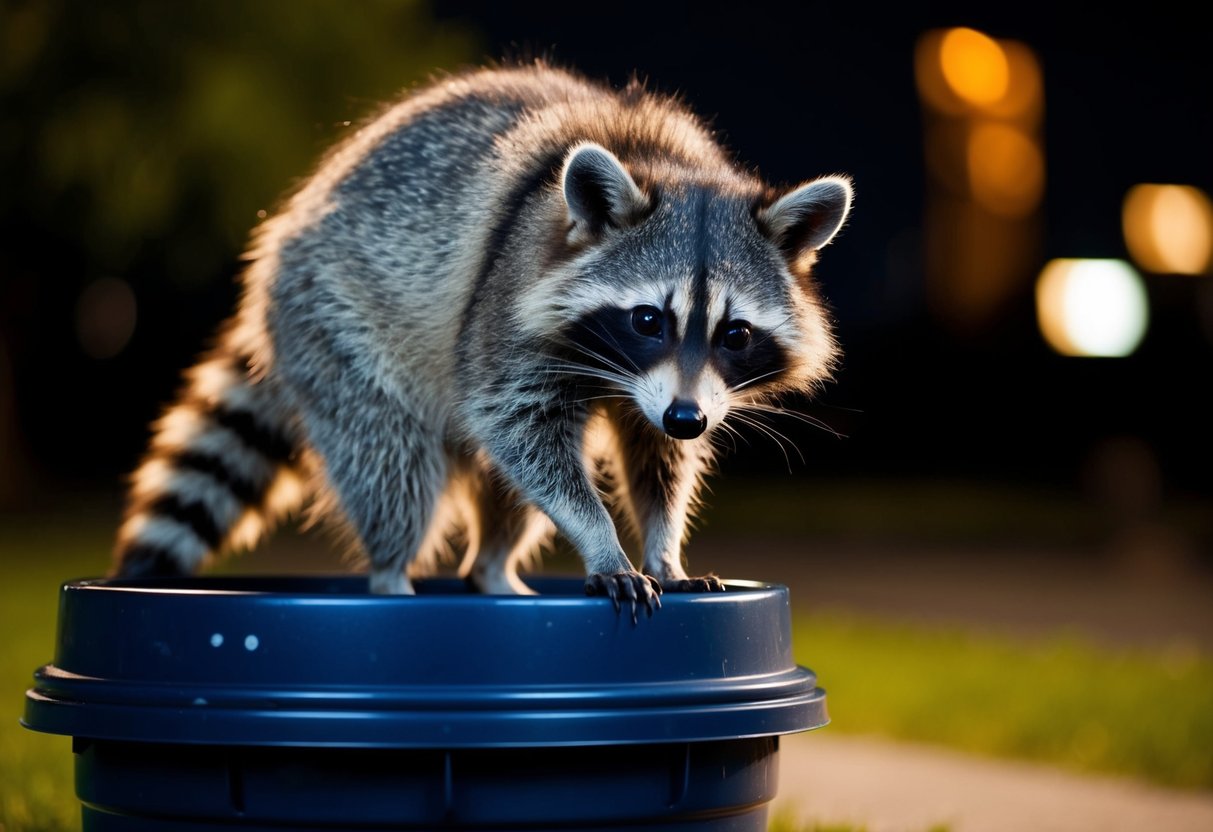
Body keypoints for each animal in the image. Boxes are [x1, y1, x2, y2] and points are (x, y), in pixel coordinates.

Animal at [111, 61, 852, 621]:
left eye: (735, 334)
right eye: (648, 320)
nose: (687, 418)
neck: (661, 160)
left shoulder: (675, 392)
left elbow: (656, 460)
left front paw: (663, 547)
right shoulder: (505, 308)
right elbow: (521, 431)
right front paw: (601, 539)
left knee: (503, 494)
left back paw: (492, 569)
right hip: (329, 323)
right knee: (395, 467)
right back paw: (393, 574)